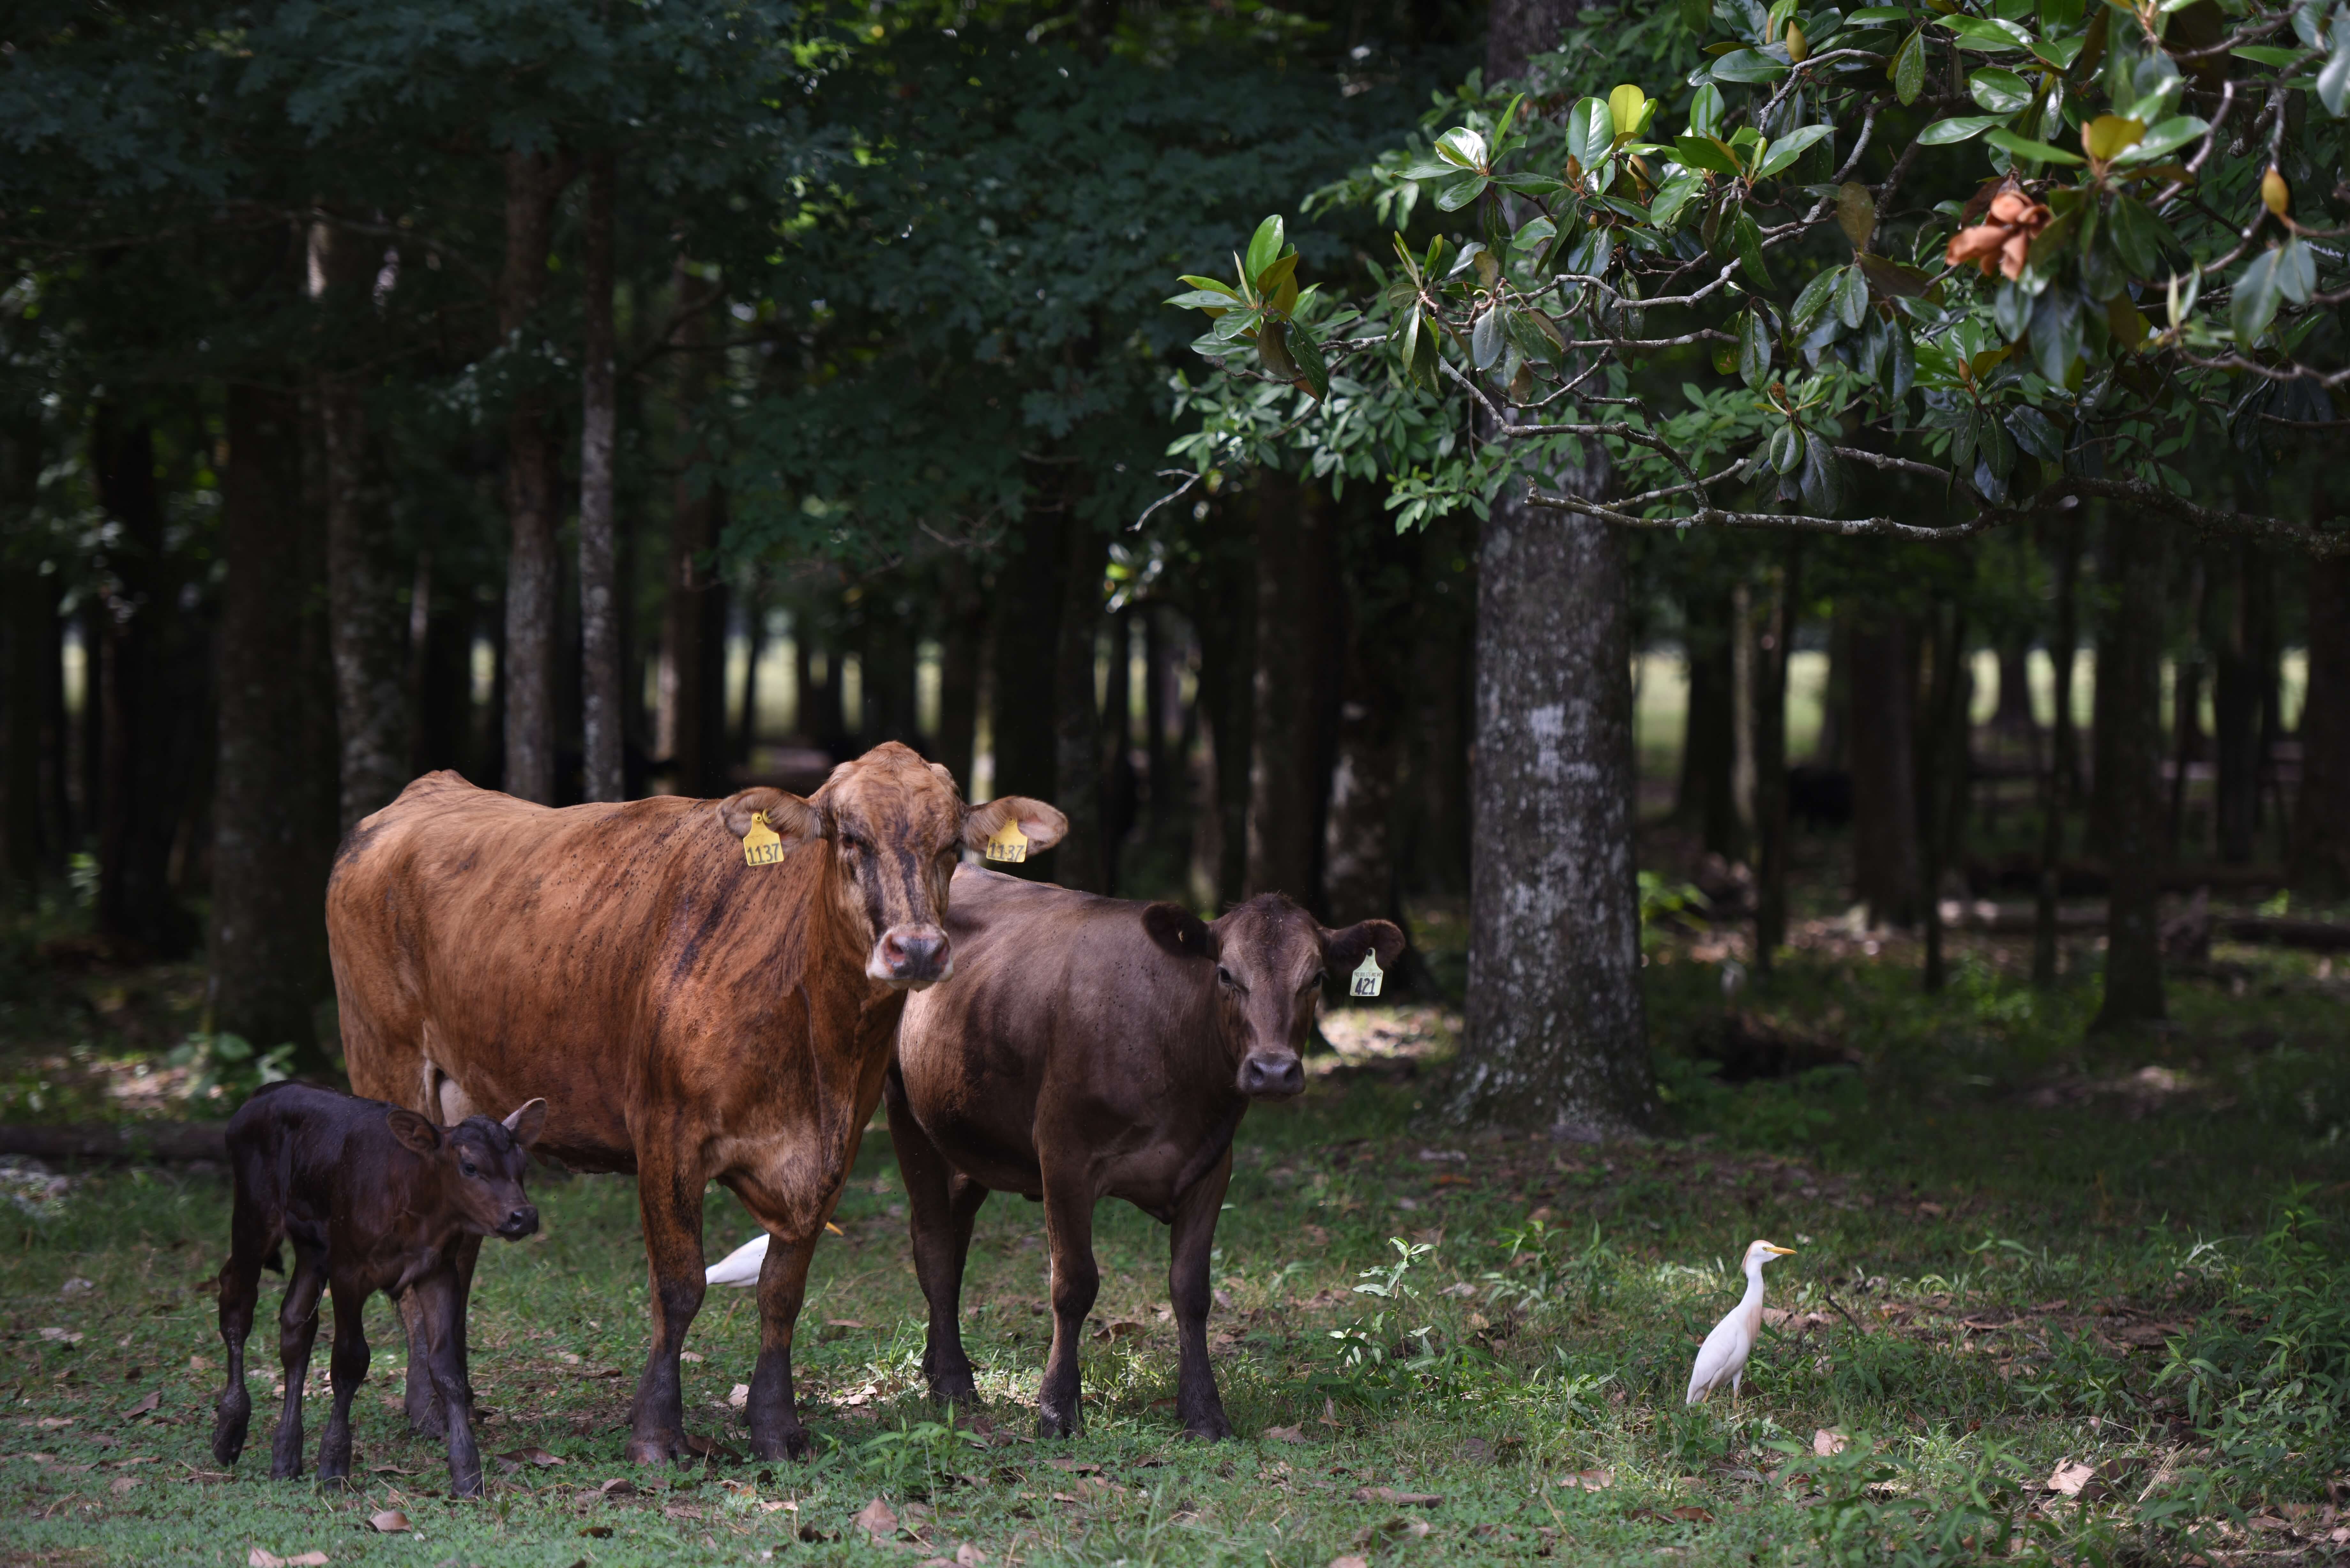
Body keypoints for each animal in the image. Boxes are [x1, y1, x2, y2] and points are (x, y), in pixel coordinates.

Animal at [207, 1081, 545, 1495]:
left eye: (522, 1167)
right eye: (470, 1167)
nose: (523, 1216)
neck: (414, 1204)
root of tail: (264, 1092)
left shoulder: (438, 1270)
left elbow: (447, 1367)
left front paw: (467, 1472)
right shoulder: (349, 1271)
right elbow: (350, 1361)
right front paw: (333, 1464)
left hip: (312, 1246)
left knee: (296, 1324)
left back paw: (285, 1456)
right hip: (255, 1216)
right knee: (237, 1299)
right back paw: (230, 1430)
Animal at [327, 743, 1062, 1467]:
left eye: (950, 845)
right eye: (851, 838)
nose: (918, 949)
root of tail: (424, 792)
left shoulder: (837, 1146)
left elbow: (782, 1290)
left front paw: (775, 1427)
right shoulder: (666, 1134)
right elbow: (679, 1288)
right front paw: (657, 1432)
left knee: (454, 1255)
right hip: (387, 1062)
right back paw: (427, 1409)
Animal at [883, 879, 1391, 1438]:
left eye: (1316, 978)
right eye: (1225, 974)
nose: (1274, 1071)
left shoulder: (1212, 1166)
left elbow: (1192, 1290)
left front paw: (1203, 1411)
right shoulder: (1063, 1156)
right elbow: (1074, 1284)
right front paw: (1058, 1408)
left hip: (967, 1133)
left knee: (954, 1242)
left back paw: (937, 1366)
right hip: (903, 1106)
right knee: (933, 1245)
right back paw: (954, 1382)